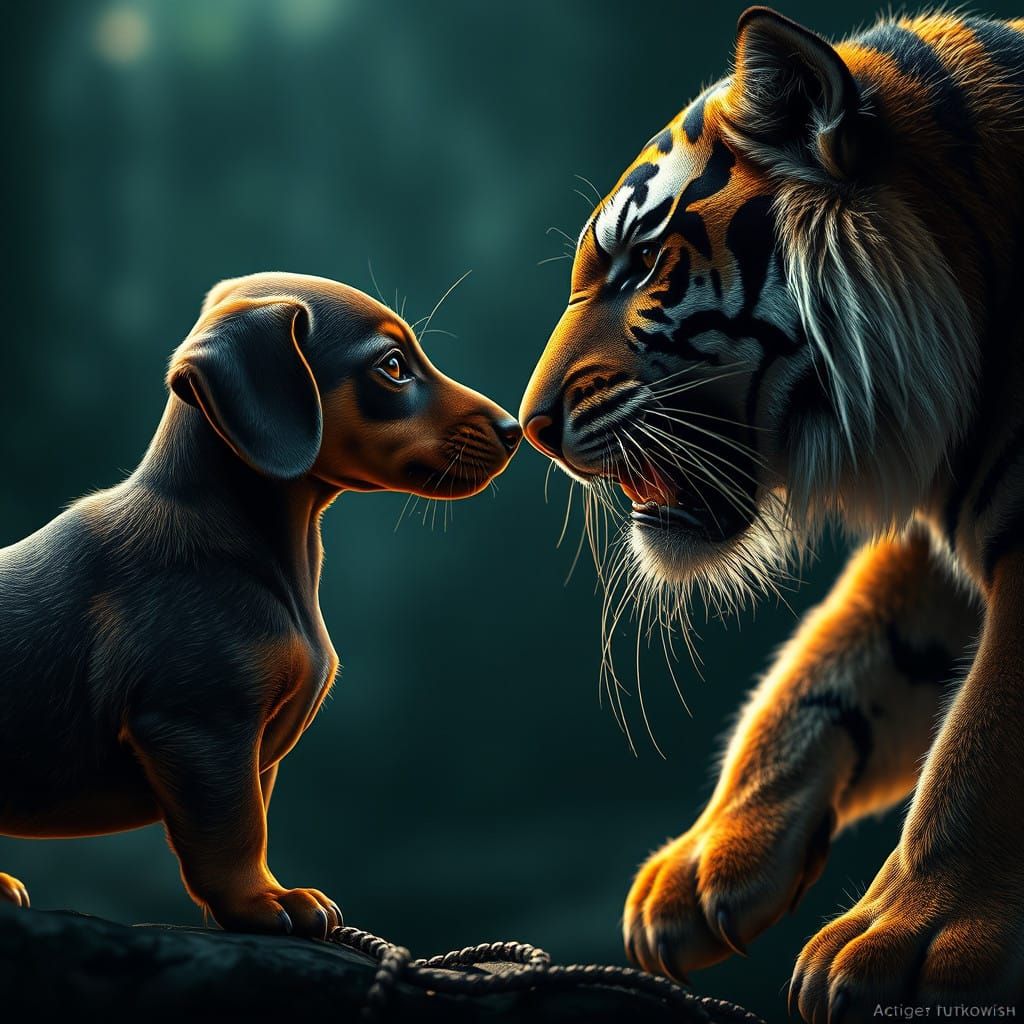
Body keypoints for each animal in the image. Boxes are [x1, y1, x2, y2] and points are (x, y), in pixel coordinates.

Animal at [519, 7, 1024, 1016]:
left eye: (642, 263)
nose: (532, 427)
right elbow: (833, 662)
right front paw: (706, 861)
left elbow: (982, 736)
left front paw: (910, 941)